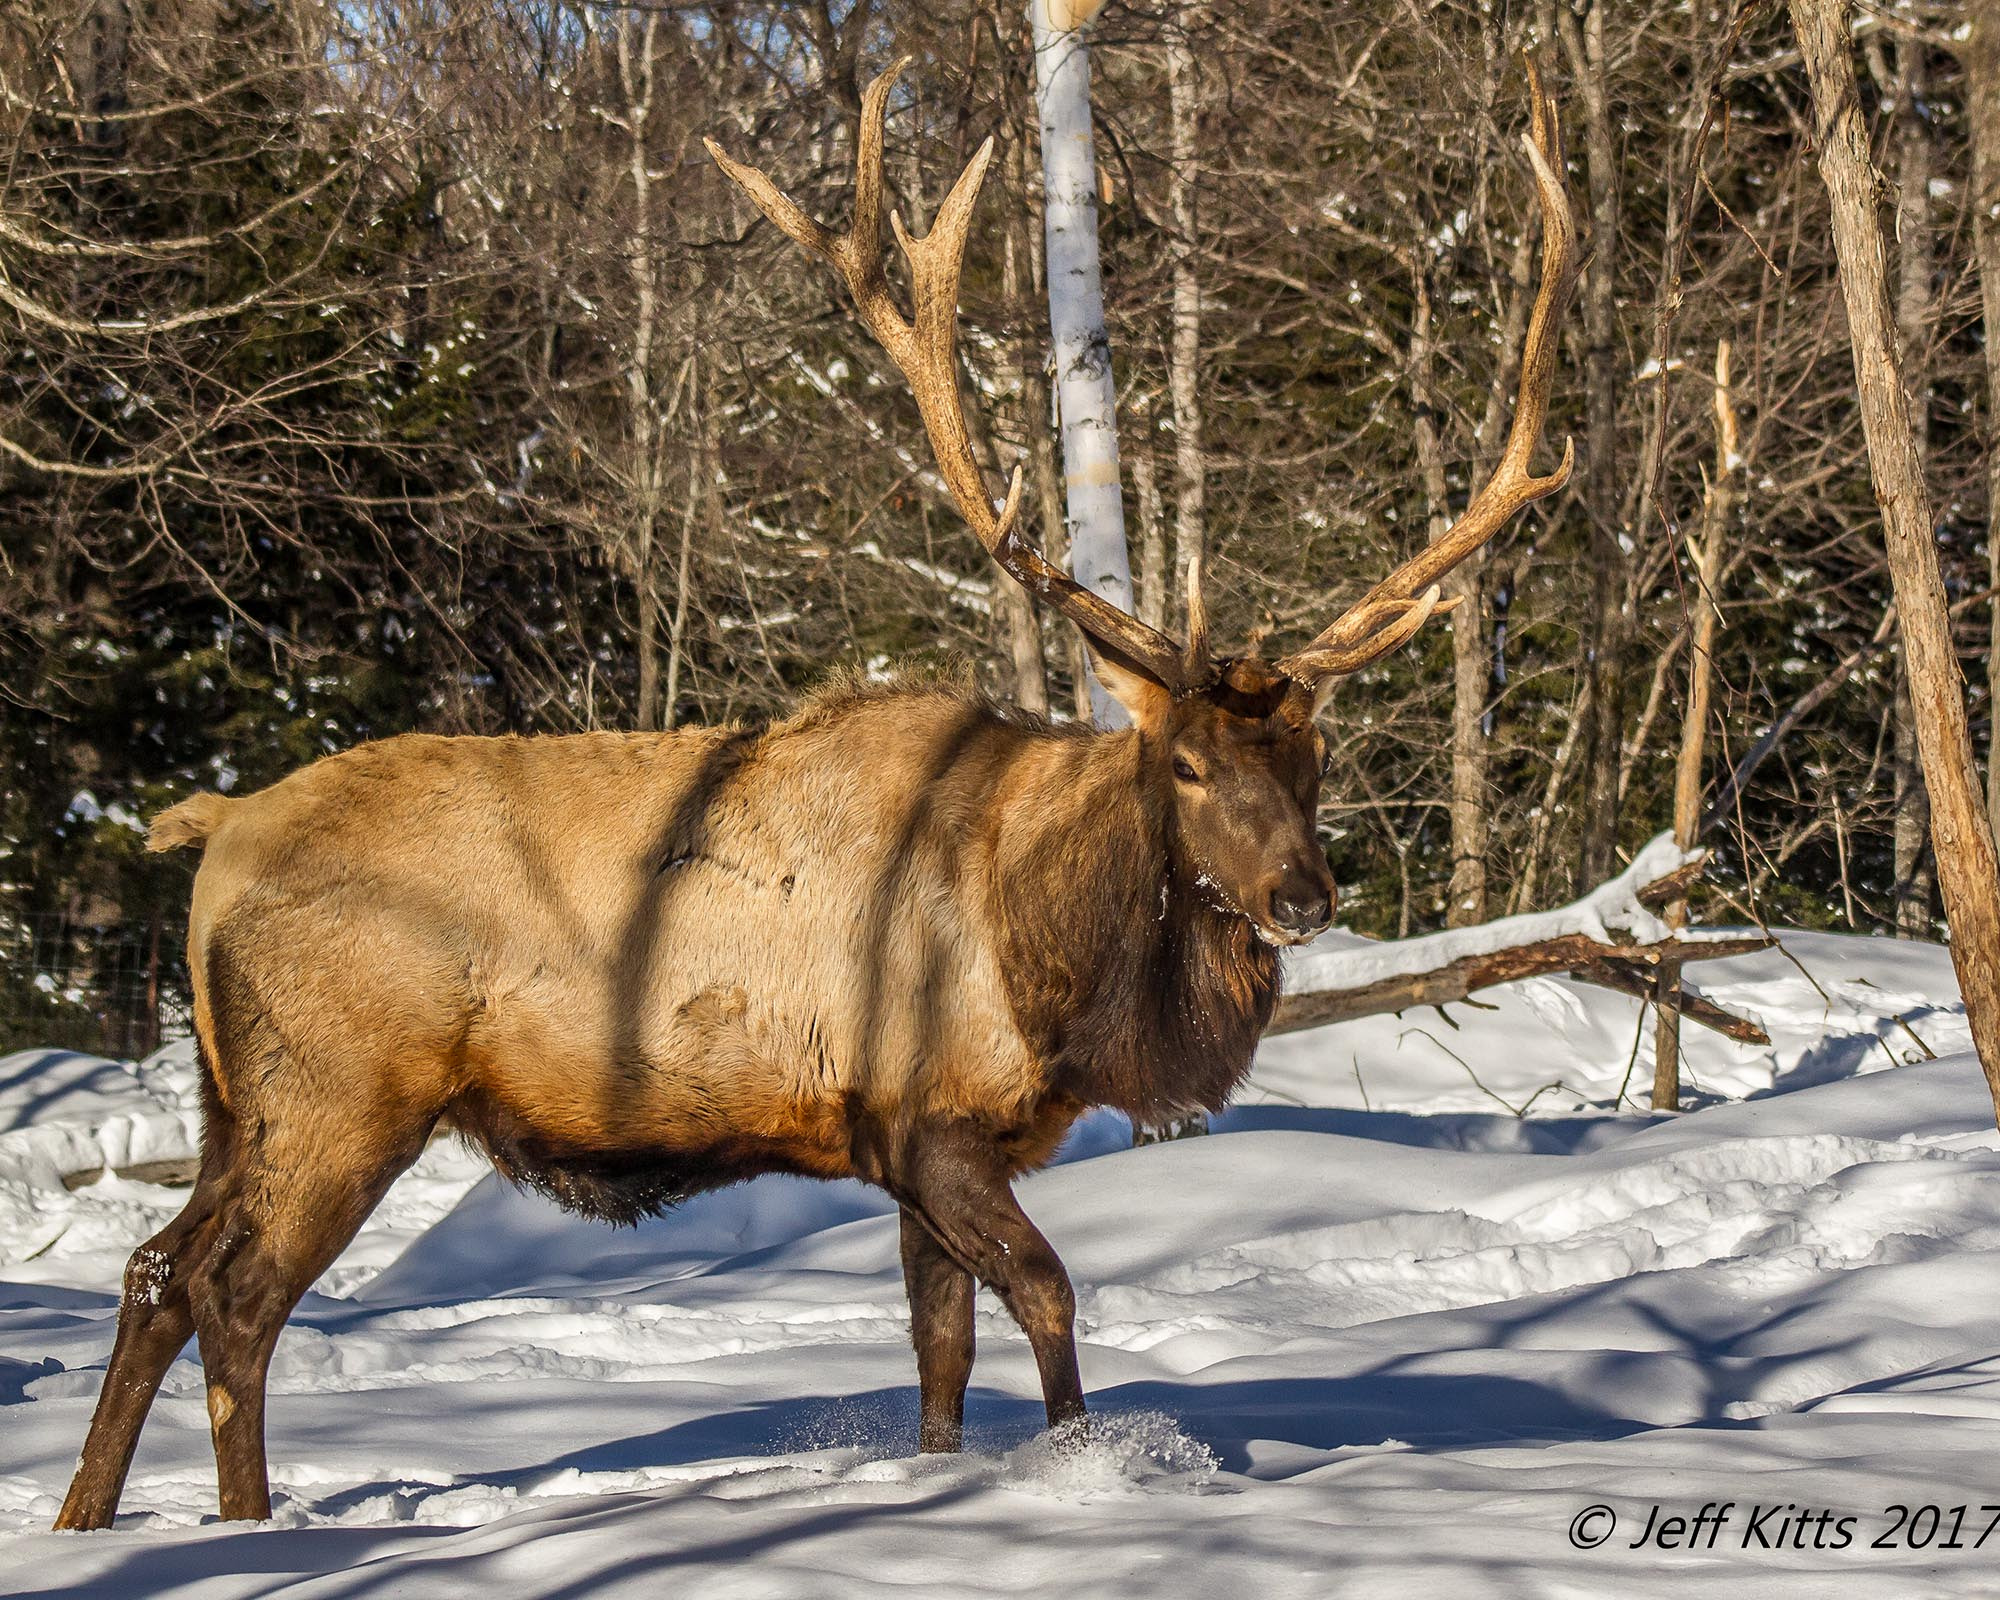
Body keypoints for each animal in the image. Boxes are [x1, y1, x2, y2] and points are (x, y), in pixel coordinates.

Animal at [54, 57, 1577, 1530]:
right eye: (1187, 761)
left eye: (1312, 759)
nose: (1303, 896)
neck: (1055, 969)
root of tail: (212, 839)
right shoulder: (924, 1117)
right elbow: (1047, 1298)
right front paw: (1089, 1472)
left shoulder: (924, 1149)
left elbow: (941, 1351)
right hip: (340, 1089)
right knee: (237, 1295)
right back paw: (250, 1530)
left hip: (232, 1101)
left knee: (151, 1270)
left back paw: (86, 1519)